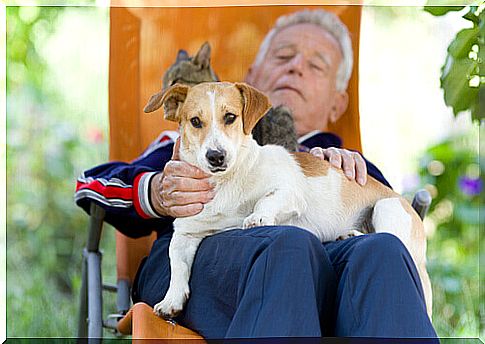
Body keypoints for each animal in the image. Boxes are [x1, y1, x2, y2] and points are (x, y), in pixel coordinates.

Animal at [144, 82, 432, 318]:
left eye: (230, 118)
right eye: (195, 121)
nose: (216, 156)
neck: (226, 183)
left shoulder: (290, 192)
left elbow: (266, 199)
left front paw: (257, 217)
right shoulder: (185, 234)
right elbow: (176, 263)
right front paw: (171, 300)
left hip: (386, 208)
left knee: (392, 239)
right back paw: (351, 234)